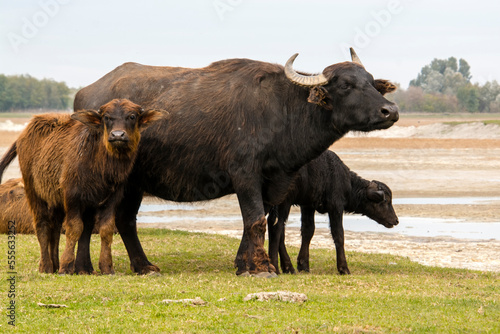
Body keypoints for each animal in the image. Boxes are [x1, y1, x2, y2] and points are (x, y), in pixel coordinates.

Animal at [0, 99, 161, 274]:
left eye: (132, 116)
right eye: (106, 117)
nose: (117, 135)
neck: (101, 166)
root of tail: (25, 132)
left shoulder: (111, 199)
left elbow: (106, 229)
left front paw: (106, 267)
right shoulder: (72, 197)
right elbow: (75, 228)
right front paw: (66, 267)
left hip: (56, 200)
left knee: (55, 227)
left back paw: (55, 263)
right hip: (33, 191)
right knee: (42, 224)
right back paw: (46, 266)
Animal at [268, 150, 400, 276]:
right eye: (386, 200)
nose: (396, 220)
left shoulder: (308, 205)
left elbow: (308, 232)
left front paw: (303, 265)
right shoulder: (336, 206)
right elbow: (339, 234)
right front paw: (343, 268)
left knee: (278, 228)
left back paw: (287, 267)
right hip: (284, 202)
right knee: (276, 227)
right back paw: (276, 268)